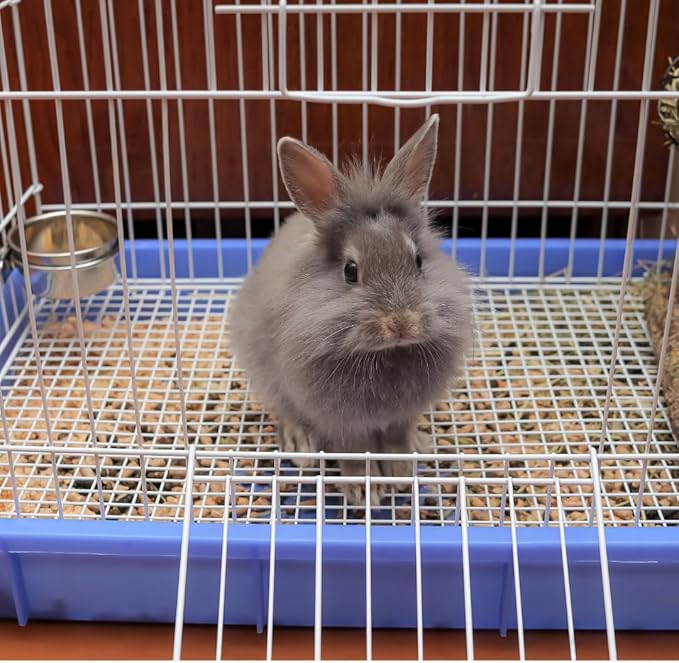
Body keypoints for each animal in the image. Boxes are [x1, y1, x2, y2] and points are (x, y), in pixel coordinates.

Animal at [230, 114, 474, 506]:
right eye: (350, 271)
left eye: (418, 260)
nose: (401, 323)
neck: (387, 354)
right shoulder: (340, 419)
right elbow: (354, 451)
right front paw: (364, 490)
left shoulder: (401, 415)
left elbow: (396, 440)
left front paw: (401, 473)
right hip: (267, 377)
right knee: (285, 412)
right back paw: (301, 447)